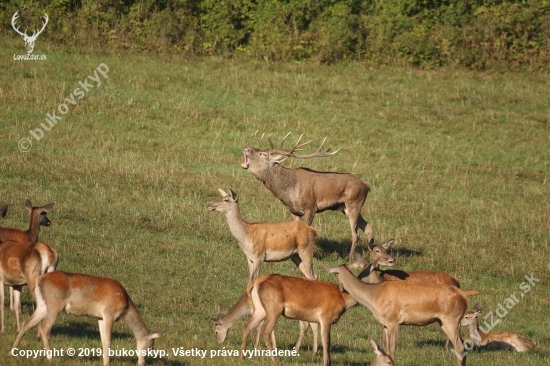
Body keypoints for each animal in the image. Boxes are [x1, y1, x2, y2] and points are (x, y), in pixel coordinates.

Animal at [10, 270, 165, 364]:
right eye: (150, 347)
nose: (142, 363)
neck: (125, 306)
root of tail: (39, 280)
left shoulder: (100, 317)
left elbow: (103, 340)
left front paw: (104, 361)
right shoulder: (109, 313)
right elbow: (109, 340)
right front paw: (107, 363)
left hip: (43, 305)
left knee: (26, 324)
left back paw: (12, 352)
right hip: (54, 304)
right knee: (44, 328)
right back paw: (51, 358)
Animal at [243, 132, 376, 260]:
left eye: (263, 154)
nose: (246, 147)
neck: (288, 190)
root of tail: (366, 186)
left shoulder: (311, 207)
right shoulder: (293, 211)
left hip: (354, 202)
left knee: (356, 233)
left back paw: (350, 258)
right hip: (345, 207)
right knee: (368, 227)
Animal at [324, 262, 484, 364]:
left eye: (336, 274)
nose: (341, 288)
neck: (374, 298)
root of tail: (464, 294)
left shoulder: (393, 320)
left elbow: (392, 349)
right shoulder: (385, 323)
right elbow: (386, 348)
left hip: (451, 319)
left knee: (460, 347)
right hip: (444, 322)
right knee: (463, 346)